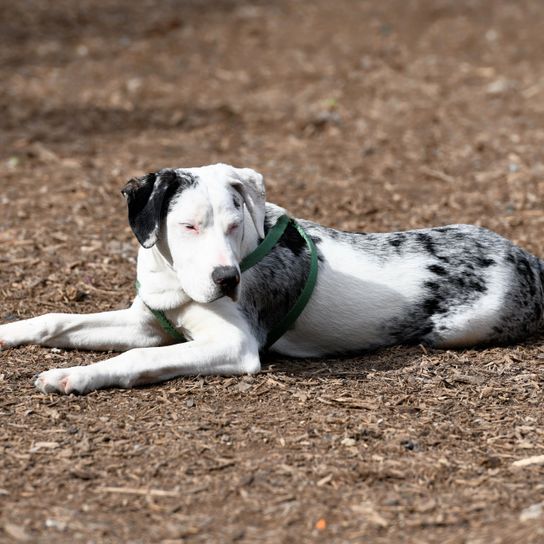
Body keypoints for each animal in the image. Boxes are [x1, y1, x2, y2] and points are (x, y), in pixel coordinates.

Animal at [1, 163, 544, 396]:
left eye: (234, 224)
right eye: (189, 226)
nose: (227, 279)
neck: (174, 280)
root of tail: (529, 259)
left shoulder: (233, 345)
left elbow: (137, 359)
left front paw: (73, 376)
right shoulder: (149, 323)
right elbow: (55, 319)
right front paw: (10, 331)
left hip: (458, 329)